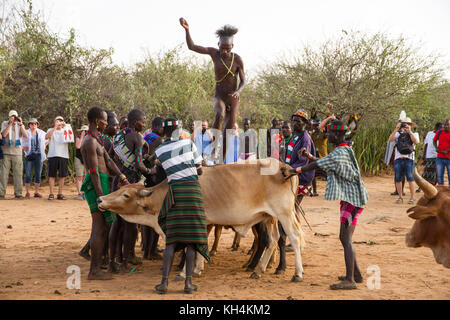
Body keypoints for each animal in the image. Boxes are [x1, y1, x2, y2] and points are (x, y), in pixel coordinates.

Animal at [99, 159, 308, 282]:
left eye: (126, 195)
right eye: (121, 190)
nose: (101, 200)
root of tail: (285, 167)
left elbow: (191, 247)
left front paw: (184, 272)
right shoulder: (205, 224)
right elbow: (201, 246)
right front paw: (197, 269)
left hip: (284, 214)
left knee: (294, 237)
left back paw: (297, 273)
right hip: (268, 217)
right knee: (272, 240)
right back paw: (258, 269)